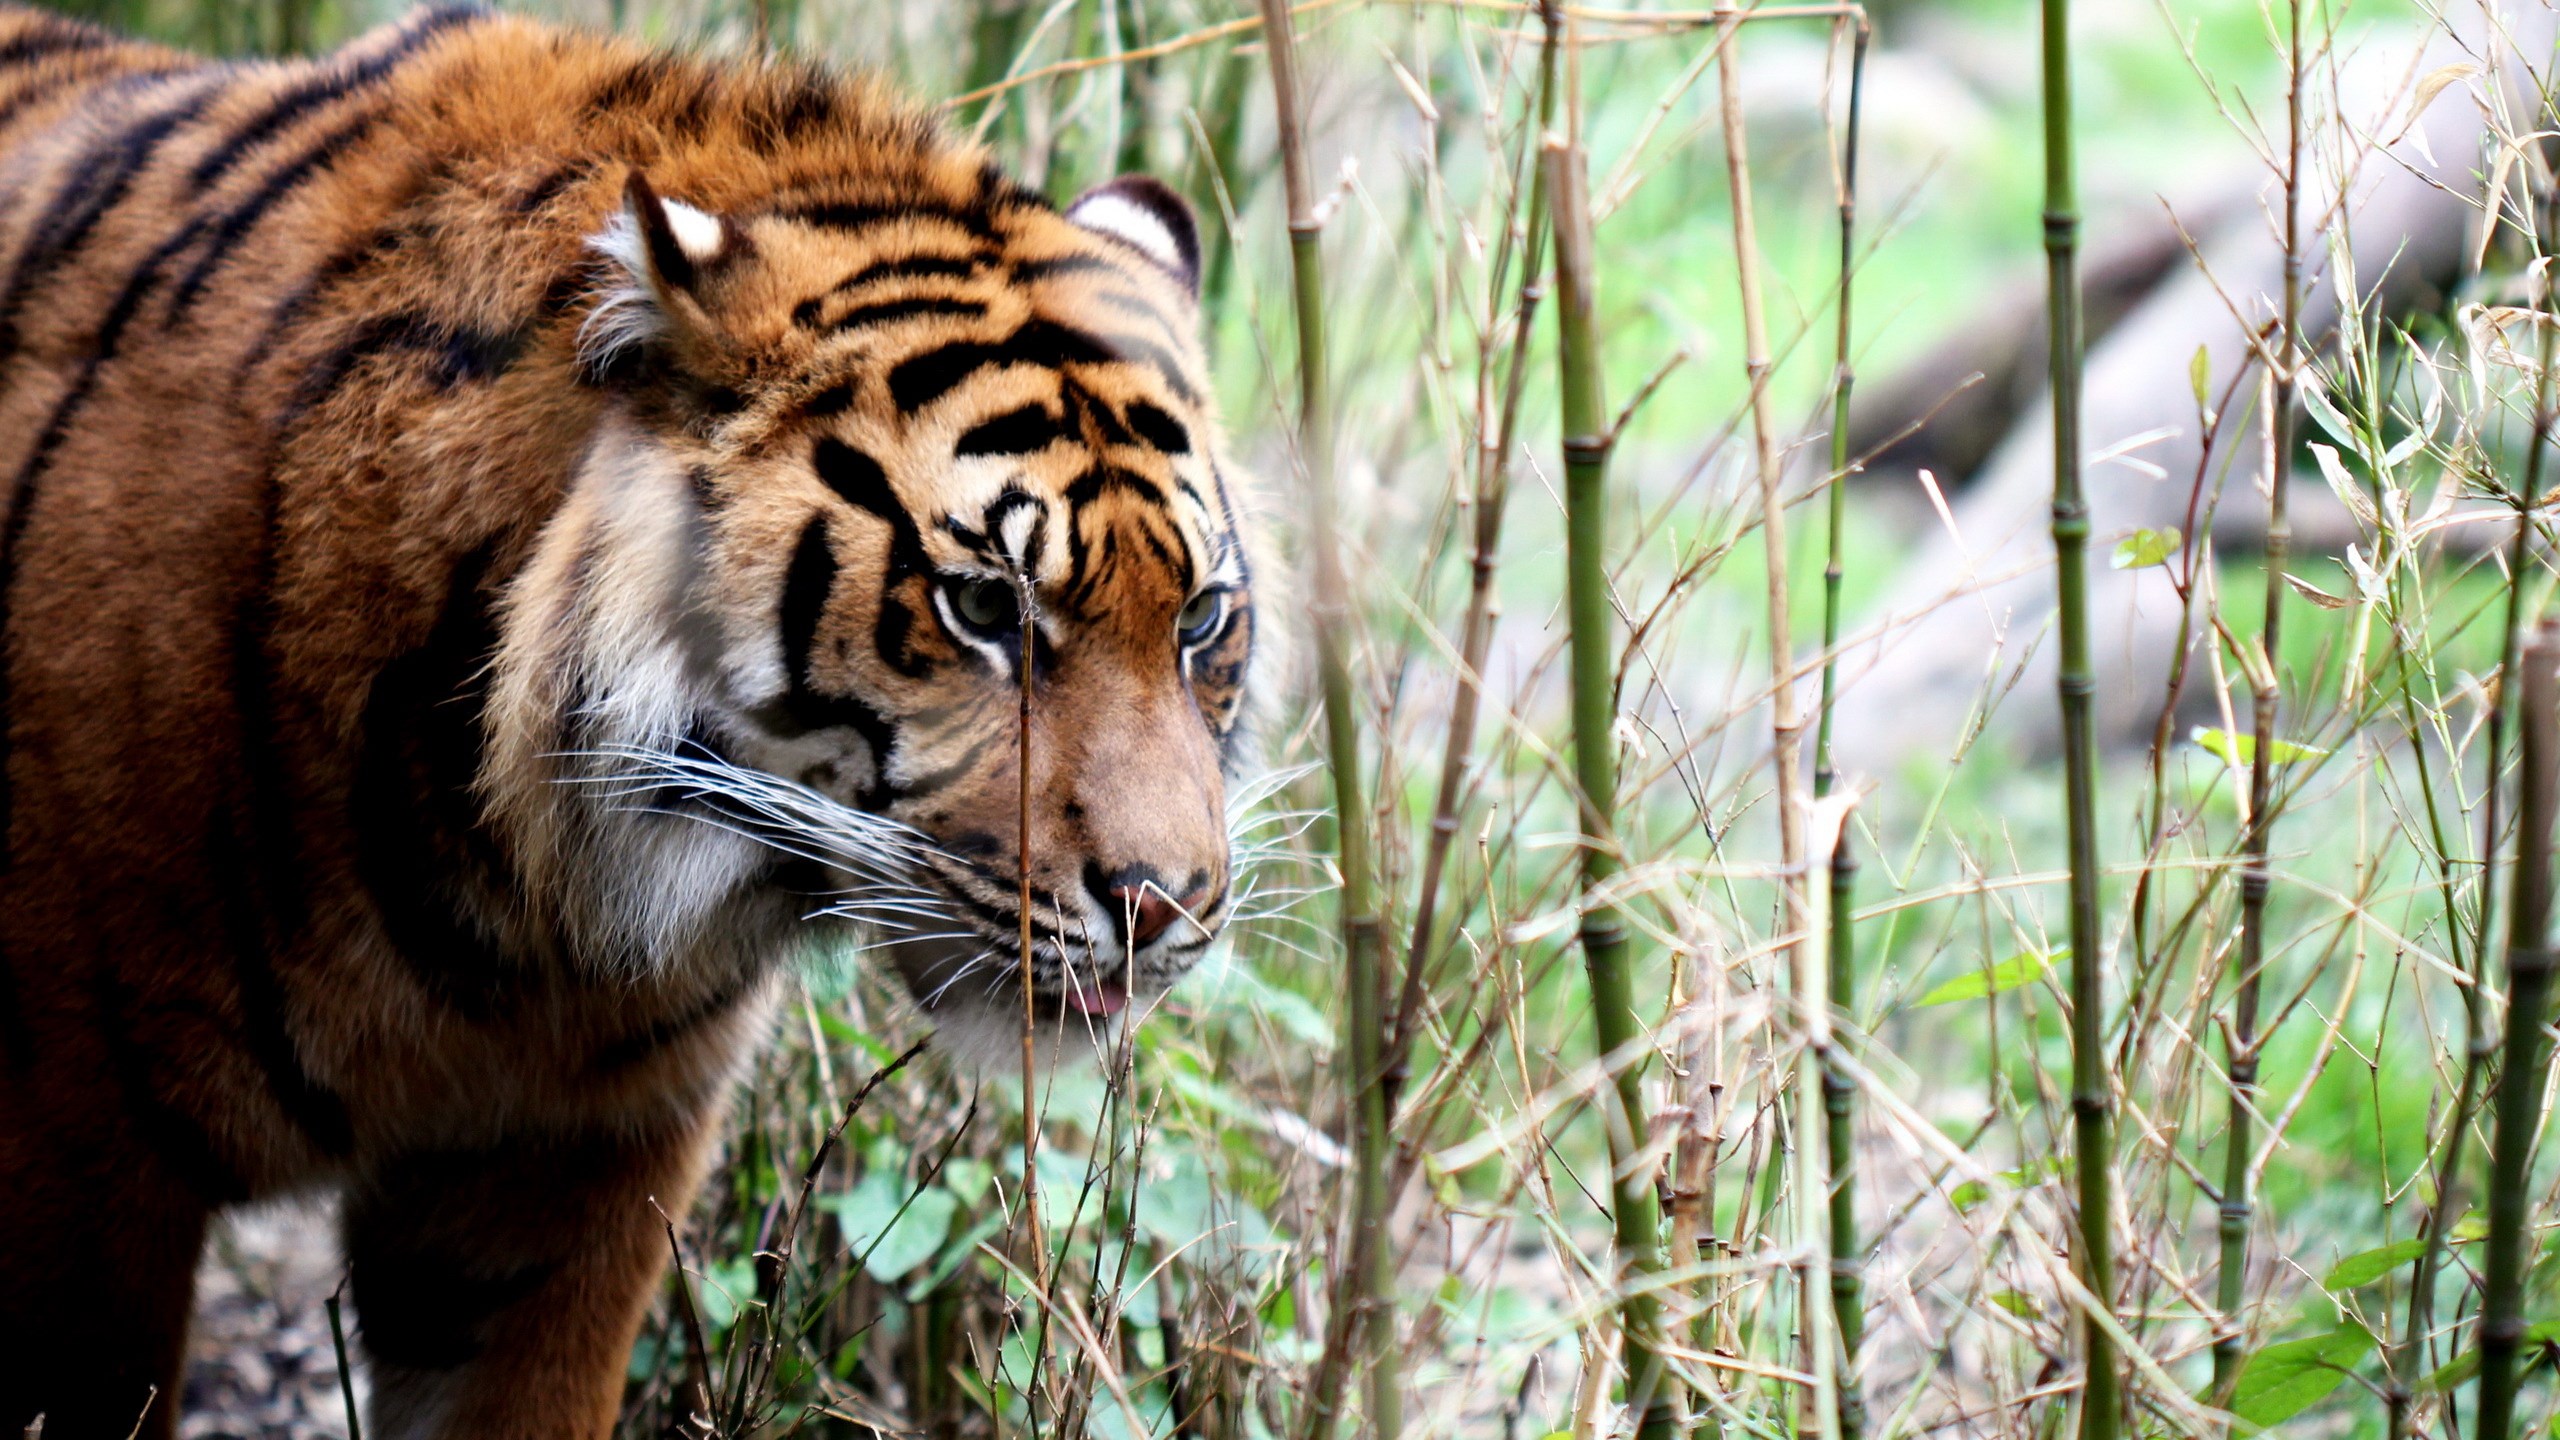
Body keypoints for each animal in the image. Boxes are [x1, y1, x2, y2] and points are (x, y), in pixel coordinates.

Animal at [0, 4, 1264, 1437]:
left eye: (1201, 618)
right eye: (985, 605)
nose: (1165, 906)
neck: (510, 908)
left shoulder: (565, 1169)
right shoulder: (75, 1162)